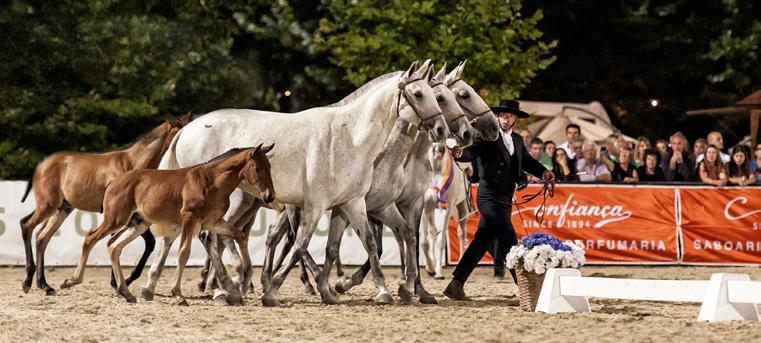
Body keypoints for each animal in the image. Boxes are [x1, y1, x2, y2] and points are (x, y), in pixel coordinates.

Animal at [20, 116, 189, 296]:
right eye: (179, 133)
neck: (133, 163)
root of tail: (40, 166)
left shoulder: (132, 217)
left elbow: (142, 244)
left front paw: (124, 283)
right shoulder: (124, 216)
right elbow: (123, 243)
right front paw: (118, 284)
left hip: (62, 209)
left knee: (41, 237)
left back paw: (44, 284)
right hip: (48, 205)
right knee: (27, 225)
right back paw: (28, 281)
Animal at [61, 144, 276, 306]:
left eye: (270, 167)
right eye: (258, 168)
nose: (270, 196)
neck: (212, 182)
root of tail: (113, 182)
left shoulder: (213, 222)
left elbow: (239, 235)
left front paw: (245, 280)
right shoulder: (189, 218)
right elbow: (183, 253)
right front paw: (178, 294)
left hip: (138, 223)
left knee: (114, 247)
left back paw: (126, 293)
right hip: (115, 219)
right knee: (91, 238)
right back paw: (71, 281)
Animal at [142, 61, 446, 306]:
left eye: (436, 96)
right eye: (419, 94)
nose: (441, 128)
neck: (349, 137)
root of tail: (186, 130)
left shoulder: (351, 203)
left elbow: (366, 244)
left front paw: (375, 291)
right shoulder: (314, 205)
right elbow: (300, 245)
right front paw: (272, 291)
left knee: (203, 237)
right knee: (206, 237)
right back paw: (226, 288)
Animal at [422, 142, 470, 280]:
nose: (438, 151)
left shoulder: (446, 210)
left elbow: (441, 241)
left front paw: (438, 272)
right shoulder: (426, 208)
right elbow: (425, 242)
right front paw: (430, 268)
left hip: (461, 208)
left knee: (461, 233)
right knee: (432, 232)